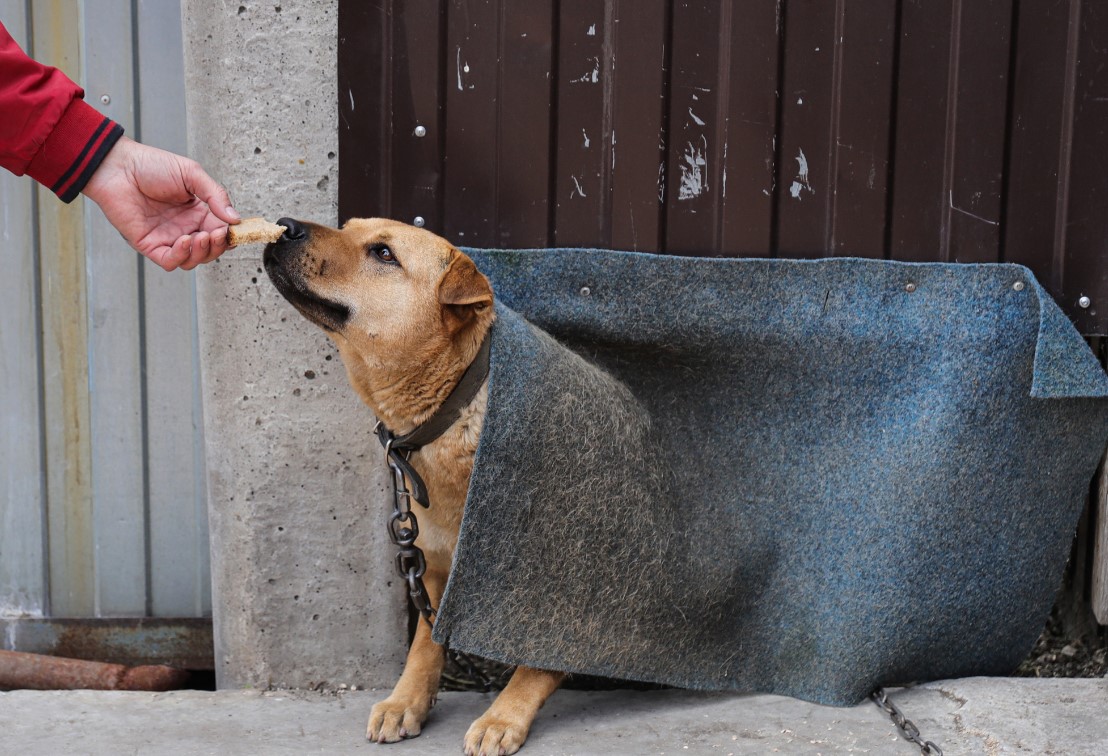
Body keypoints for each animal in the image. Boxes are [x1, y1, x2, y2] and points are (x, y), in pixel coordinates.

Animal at [264, 218, 567, 753]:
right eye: (348, 227)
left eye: (384, 253)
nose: (285, 224)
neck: (451, 409)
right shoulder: (434, 563)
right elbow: (426, 641)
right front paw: (407, 700)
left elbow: (537, 656)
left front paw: (505, 714)